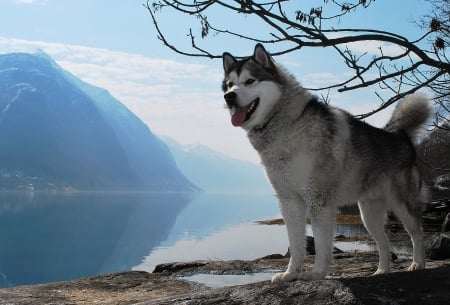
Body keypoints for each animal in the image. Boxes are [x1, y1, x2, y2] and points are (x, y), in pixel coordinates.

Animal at [221, 44, 432, 282]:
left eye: (249, 81)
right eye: (229, 84)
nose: (229, 97)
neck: (283, 124)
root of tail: (400, 136)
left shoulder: (318, 200)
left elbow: (322, 244)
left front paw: (317, 273)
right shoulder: (289, 201)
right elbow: (296, 244)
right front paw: (290, 273)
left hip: (402, 205)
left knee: (417, 233)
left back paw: (418, 263)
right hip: (368, 214)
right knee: (384, 243)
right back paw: (382, 270)